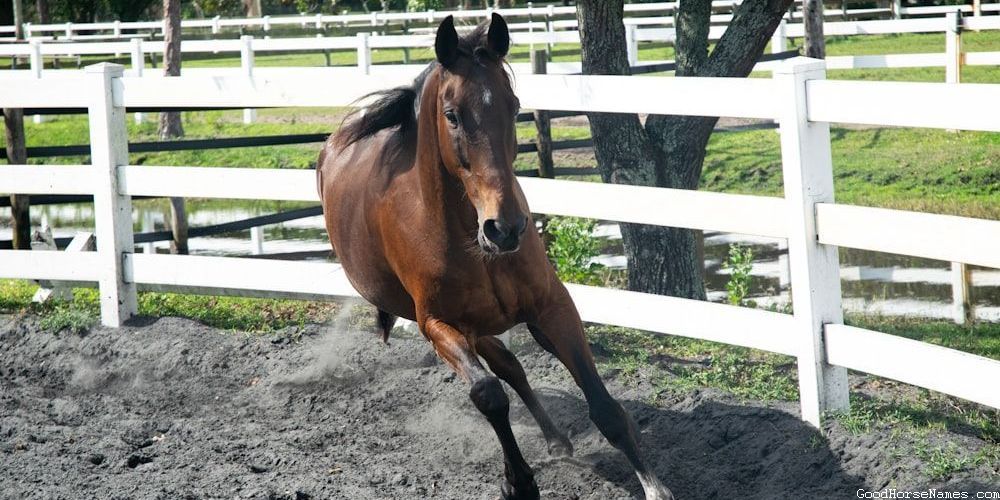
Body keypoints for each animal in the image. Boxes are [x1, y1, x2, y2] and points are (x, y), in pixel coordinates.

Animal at [317, 13, 674, 500]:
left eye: (515, 105)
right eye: (451, 115)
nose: (504, 228)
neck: (472, 243)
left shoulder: (553, 305)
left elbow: (603, 406)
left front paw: (655, 487)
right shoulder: (438, 325)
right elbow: (488, 393)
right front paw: (518, 482)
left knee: (514, 366)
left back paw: (557, 440)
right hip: (470, 329)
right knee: (503, 370)